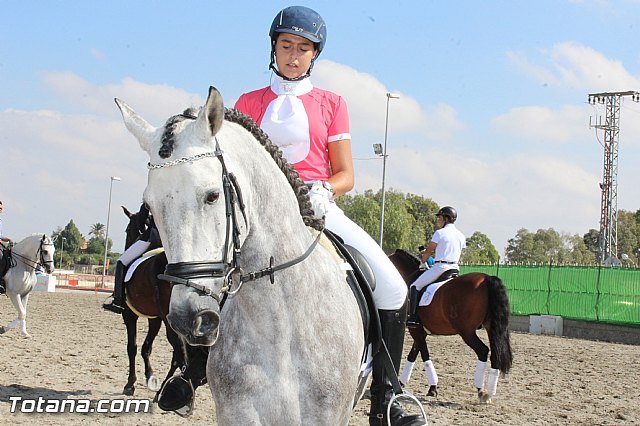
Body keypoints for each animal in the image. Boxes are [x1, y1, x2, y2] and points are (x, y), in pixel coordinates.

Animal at [389, 249, 513, 403]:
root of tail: (487, 278)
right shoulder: (420, 331)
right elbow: (413, 355)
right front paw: (400, 383)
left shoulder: (415, 329)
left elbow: (424, 355)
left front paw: (432, 388)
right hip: (491, 328)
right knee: (496, 354)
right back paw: (489, 393)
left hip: (467, 332)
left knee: (483, 351)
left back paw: (481, 391)